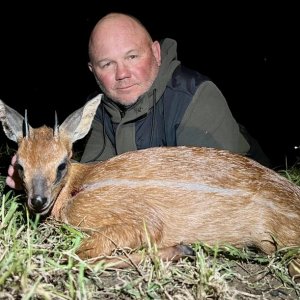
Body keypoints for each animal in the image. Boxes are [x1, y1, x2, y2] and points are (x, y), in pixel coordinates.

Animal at [0, 97, 300, 280]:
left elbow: (76, 256)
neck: (76, 185)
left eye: (62, 164)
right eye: (20, 166)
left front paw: (180, 249)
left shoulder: (137, 218)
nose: (38, 201)